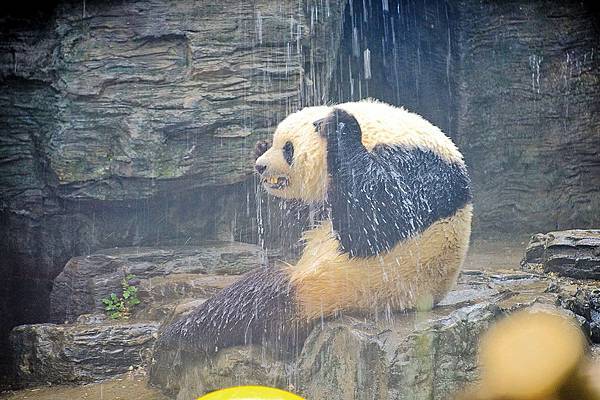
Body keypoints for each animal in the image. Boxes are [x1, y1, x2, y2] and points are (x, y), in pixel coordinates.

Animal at [150, 99, 474, 388]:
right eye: (274, 143)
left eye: (288, 149)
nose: (261, 167)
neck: (381, 130)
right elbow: (312, 217)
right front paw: (258, 147)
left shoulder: (416, 165)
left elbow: (376, 219)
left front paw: (339, 127)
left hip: (333, 289)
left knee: (250, 299)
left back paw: (177, 336)